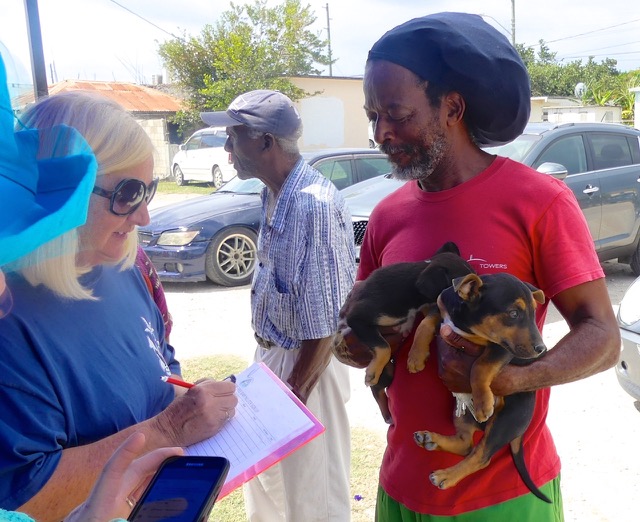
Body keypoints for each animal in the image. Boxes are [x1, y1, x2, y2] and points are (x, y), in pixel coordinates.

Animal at [416, 270, 552, 502]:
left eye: (534, 312)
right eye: (513, 313)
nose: (541, 349)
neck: (467, 326)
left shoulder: (502, 348)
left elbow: (480, 366)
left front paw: (482, 403)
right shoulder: (440, 305)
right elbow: (426, 321)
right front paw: (415, 356)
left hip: (506, 420)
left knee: (481, 456)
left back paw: (446, 476)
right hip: (460, 412)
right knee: (465, 444)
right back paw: (429, 439)